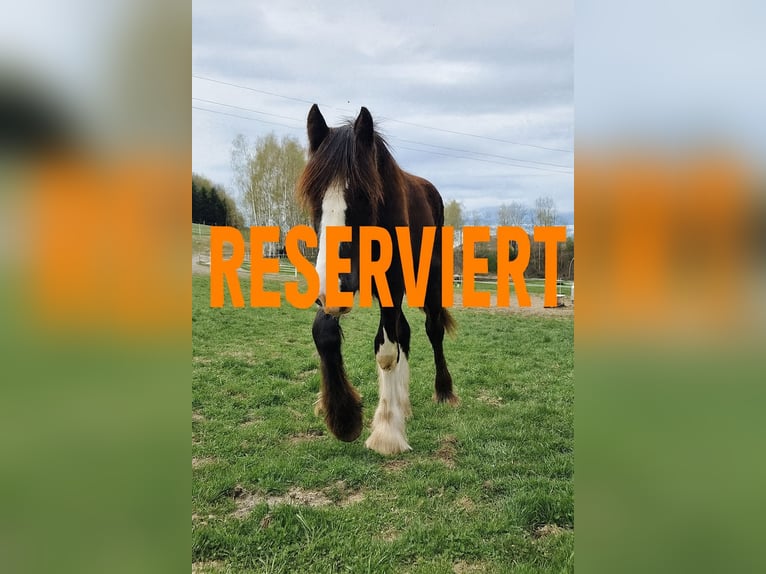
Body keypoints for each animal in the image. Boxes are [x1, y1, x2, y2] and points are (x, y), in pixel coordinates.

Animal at [296, 104, 458, 455]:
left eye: (362, 194)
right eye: (314, 194)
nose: (334, 286)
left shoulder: (391, 287)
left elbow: (385, 352)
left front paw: (386, 431)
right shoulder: (335, 291)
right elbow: (323, 333)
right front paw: (343, 415)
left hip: (428, 283)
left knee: (432, 329)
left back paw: (443, 391)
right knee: (405, 332)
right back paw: (404, 405)